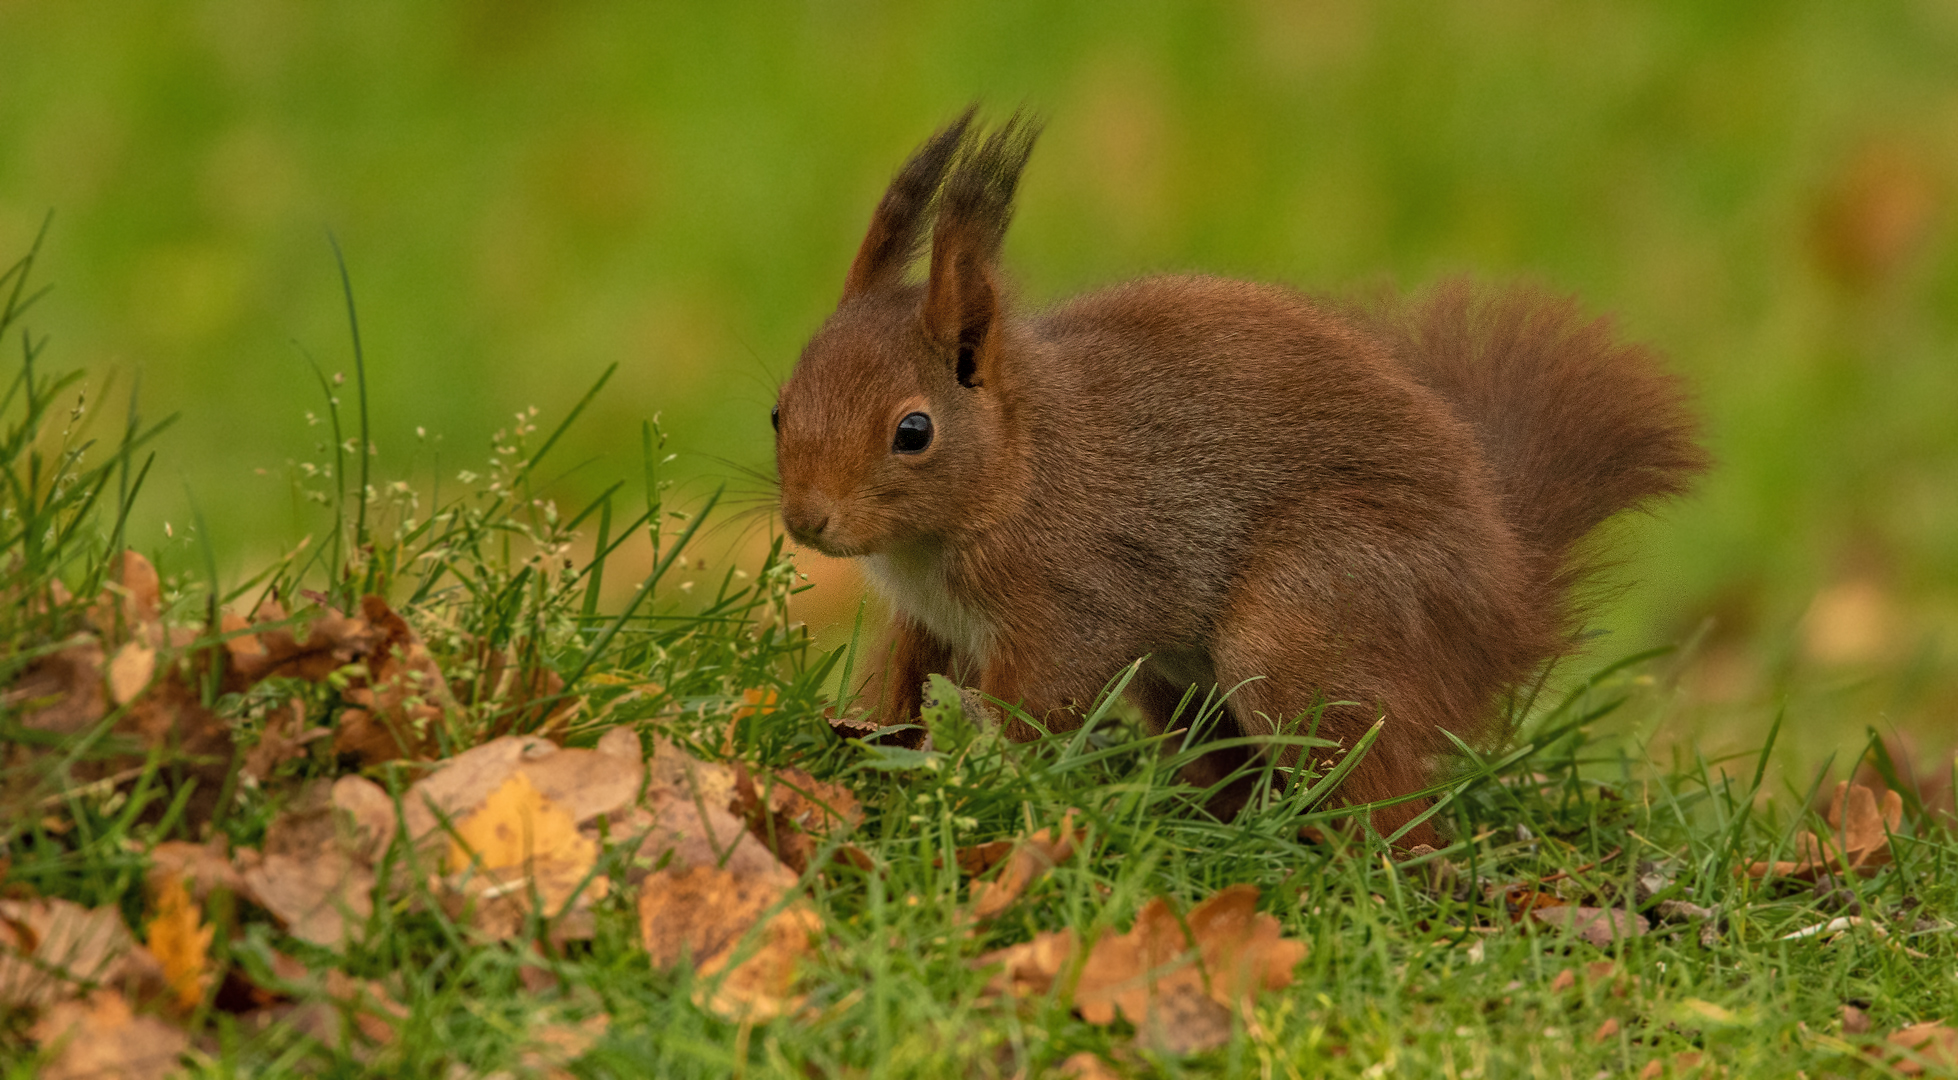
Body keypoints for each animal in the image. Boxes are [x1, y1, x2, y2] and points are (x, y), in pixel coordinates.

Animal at [771, 109, 1707, 841]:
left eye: (914, 432)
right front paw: (873, 738)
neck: (1014, 471)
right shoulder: (931, 624)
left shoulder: (1079, 594)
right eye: (779, 409)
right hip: (1184, 683)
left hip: (1310, 617)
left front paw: (978, 762)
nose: (807, 521)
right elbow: (904, 680)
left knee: (1384, 798)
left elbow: (1041, 694)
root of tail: (1506, 612)